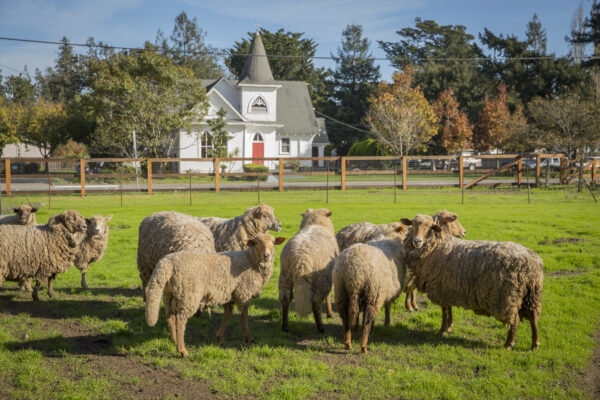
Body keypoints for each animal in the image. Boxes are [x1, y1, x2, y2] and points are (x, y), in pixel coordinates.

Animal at [145, 233, 286, 358]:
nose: (266, 256)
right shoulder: (244, 293)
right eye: (256, 243)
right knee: (180, 320)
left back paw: (174, 342)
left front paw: (220, 337)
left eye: (273, 243)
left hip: (169, 294)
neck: (250, 260)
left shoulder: (229, 294)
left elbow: (228, 315)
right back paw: (182, 350)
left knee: (170, 317)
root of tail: (167, 263)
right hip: (189, 294)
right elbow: (244, 315)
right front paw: (247, 337)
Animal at [330, 225, 410, 354]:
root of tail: (353, 270)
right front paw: (386, 323)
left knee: (346, 319)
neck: (390, 237)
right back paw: (363, 346)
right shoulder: (386, 292)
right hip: (373, 294)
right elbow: (387, 308)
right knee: (367, 320)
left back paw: (348, 343)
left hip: (341, 291)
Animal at [404, 212, 544, 350]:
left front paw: (442, 329)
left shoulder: (440, 288)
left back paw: (509, 343)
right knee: (534, 316)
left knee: (514, 319)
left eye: (429, 227)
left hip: (508, 297)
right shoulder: (448, 288)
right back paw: (535, 343)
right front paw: (449, 326)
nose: (417, 241)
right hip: (532, 293)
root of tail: (533, 263)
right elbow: (448, 308)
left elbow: (444, 310)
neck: (438, 245)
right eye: (413, 224)